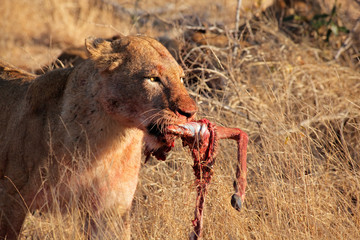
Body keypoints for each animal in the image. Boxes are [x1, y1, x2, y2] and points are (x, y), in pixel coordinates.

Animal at [0, 34, 197, 239]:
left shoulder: (111, 210)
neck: (110, 139)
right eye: (153, 78)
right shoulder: (12, 198)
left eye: (181, 79)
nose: (190, 112)